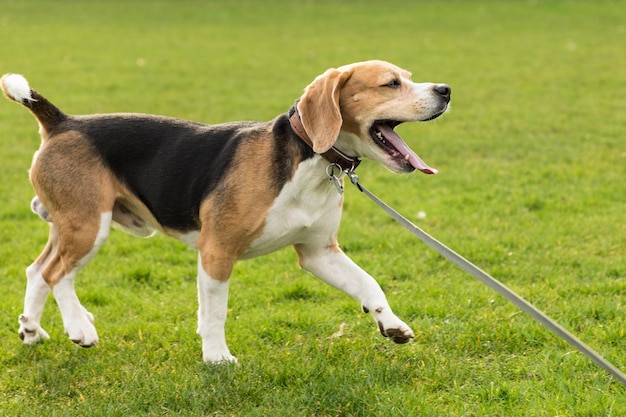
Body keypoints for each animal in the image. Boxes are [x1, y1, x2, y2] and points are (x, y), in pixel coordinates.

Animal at [0, 60, 448, 362]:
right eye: (391, 83)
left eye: (408, 77)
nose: (445, 89)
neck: (307, 159)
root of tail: (63, 122)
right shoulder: (216, 250)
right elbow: (215, 311)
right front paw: (217, 358)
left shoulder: (319, 253)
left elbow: (369, 284)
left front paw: (391, 324)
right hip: (89, 226)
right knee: (57, 274)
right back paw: (79, 328)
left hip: (70, 225)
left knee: (37, 270)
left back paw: (32, 330)